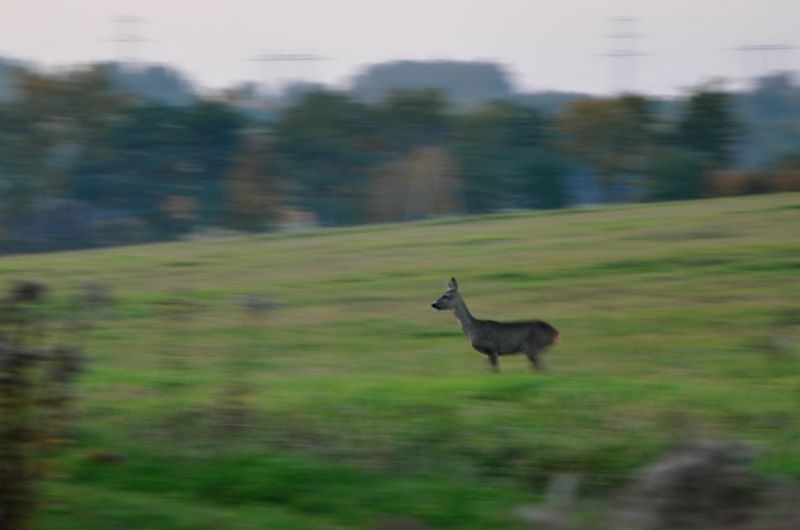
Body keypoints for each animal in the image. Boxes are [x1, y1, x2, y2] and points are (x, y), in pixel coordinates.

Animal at [432, 276, 564, 372]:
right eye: (442, 294)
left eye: (446, 296)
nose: (433, 304)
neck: (473, 328)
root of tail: (556, 333)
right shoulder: (486, 354)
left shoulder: (491, 349)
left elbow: (496, 371)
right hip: (534, 350)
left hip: (533, 347)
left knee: (543, 369)